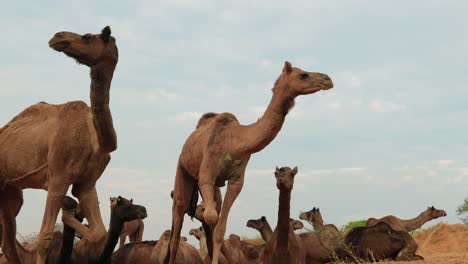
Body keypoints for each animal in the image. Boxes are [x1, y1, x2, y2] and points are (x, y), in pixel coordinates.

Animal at [0, 25, 119, 264]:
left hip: (10, 191)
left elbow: (99, 232)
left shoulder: (87, 183)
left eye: (87, 37)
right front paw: (67, 212)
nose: (57, 36)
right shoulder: (57, 177)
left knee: (8, 243)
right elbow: (44, 239)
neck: (94, 140)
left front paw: (69, 212)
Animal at [167, 62, 332, 264]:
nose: (328, 79)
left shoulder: (236, 180)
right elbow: (212, 218)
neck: (235, 141)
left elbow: (219, 229)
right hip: (182, 169)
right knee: (177, 221)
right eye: (303, 75)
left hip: (215, 187)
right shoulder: (207, 174)